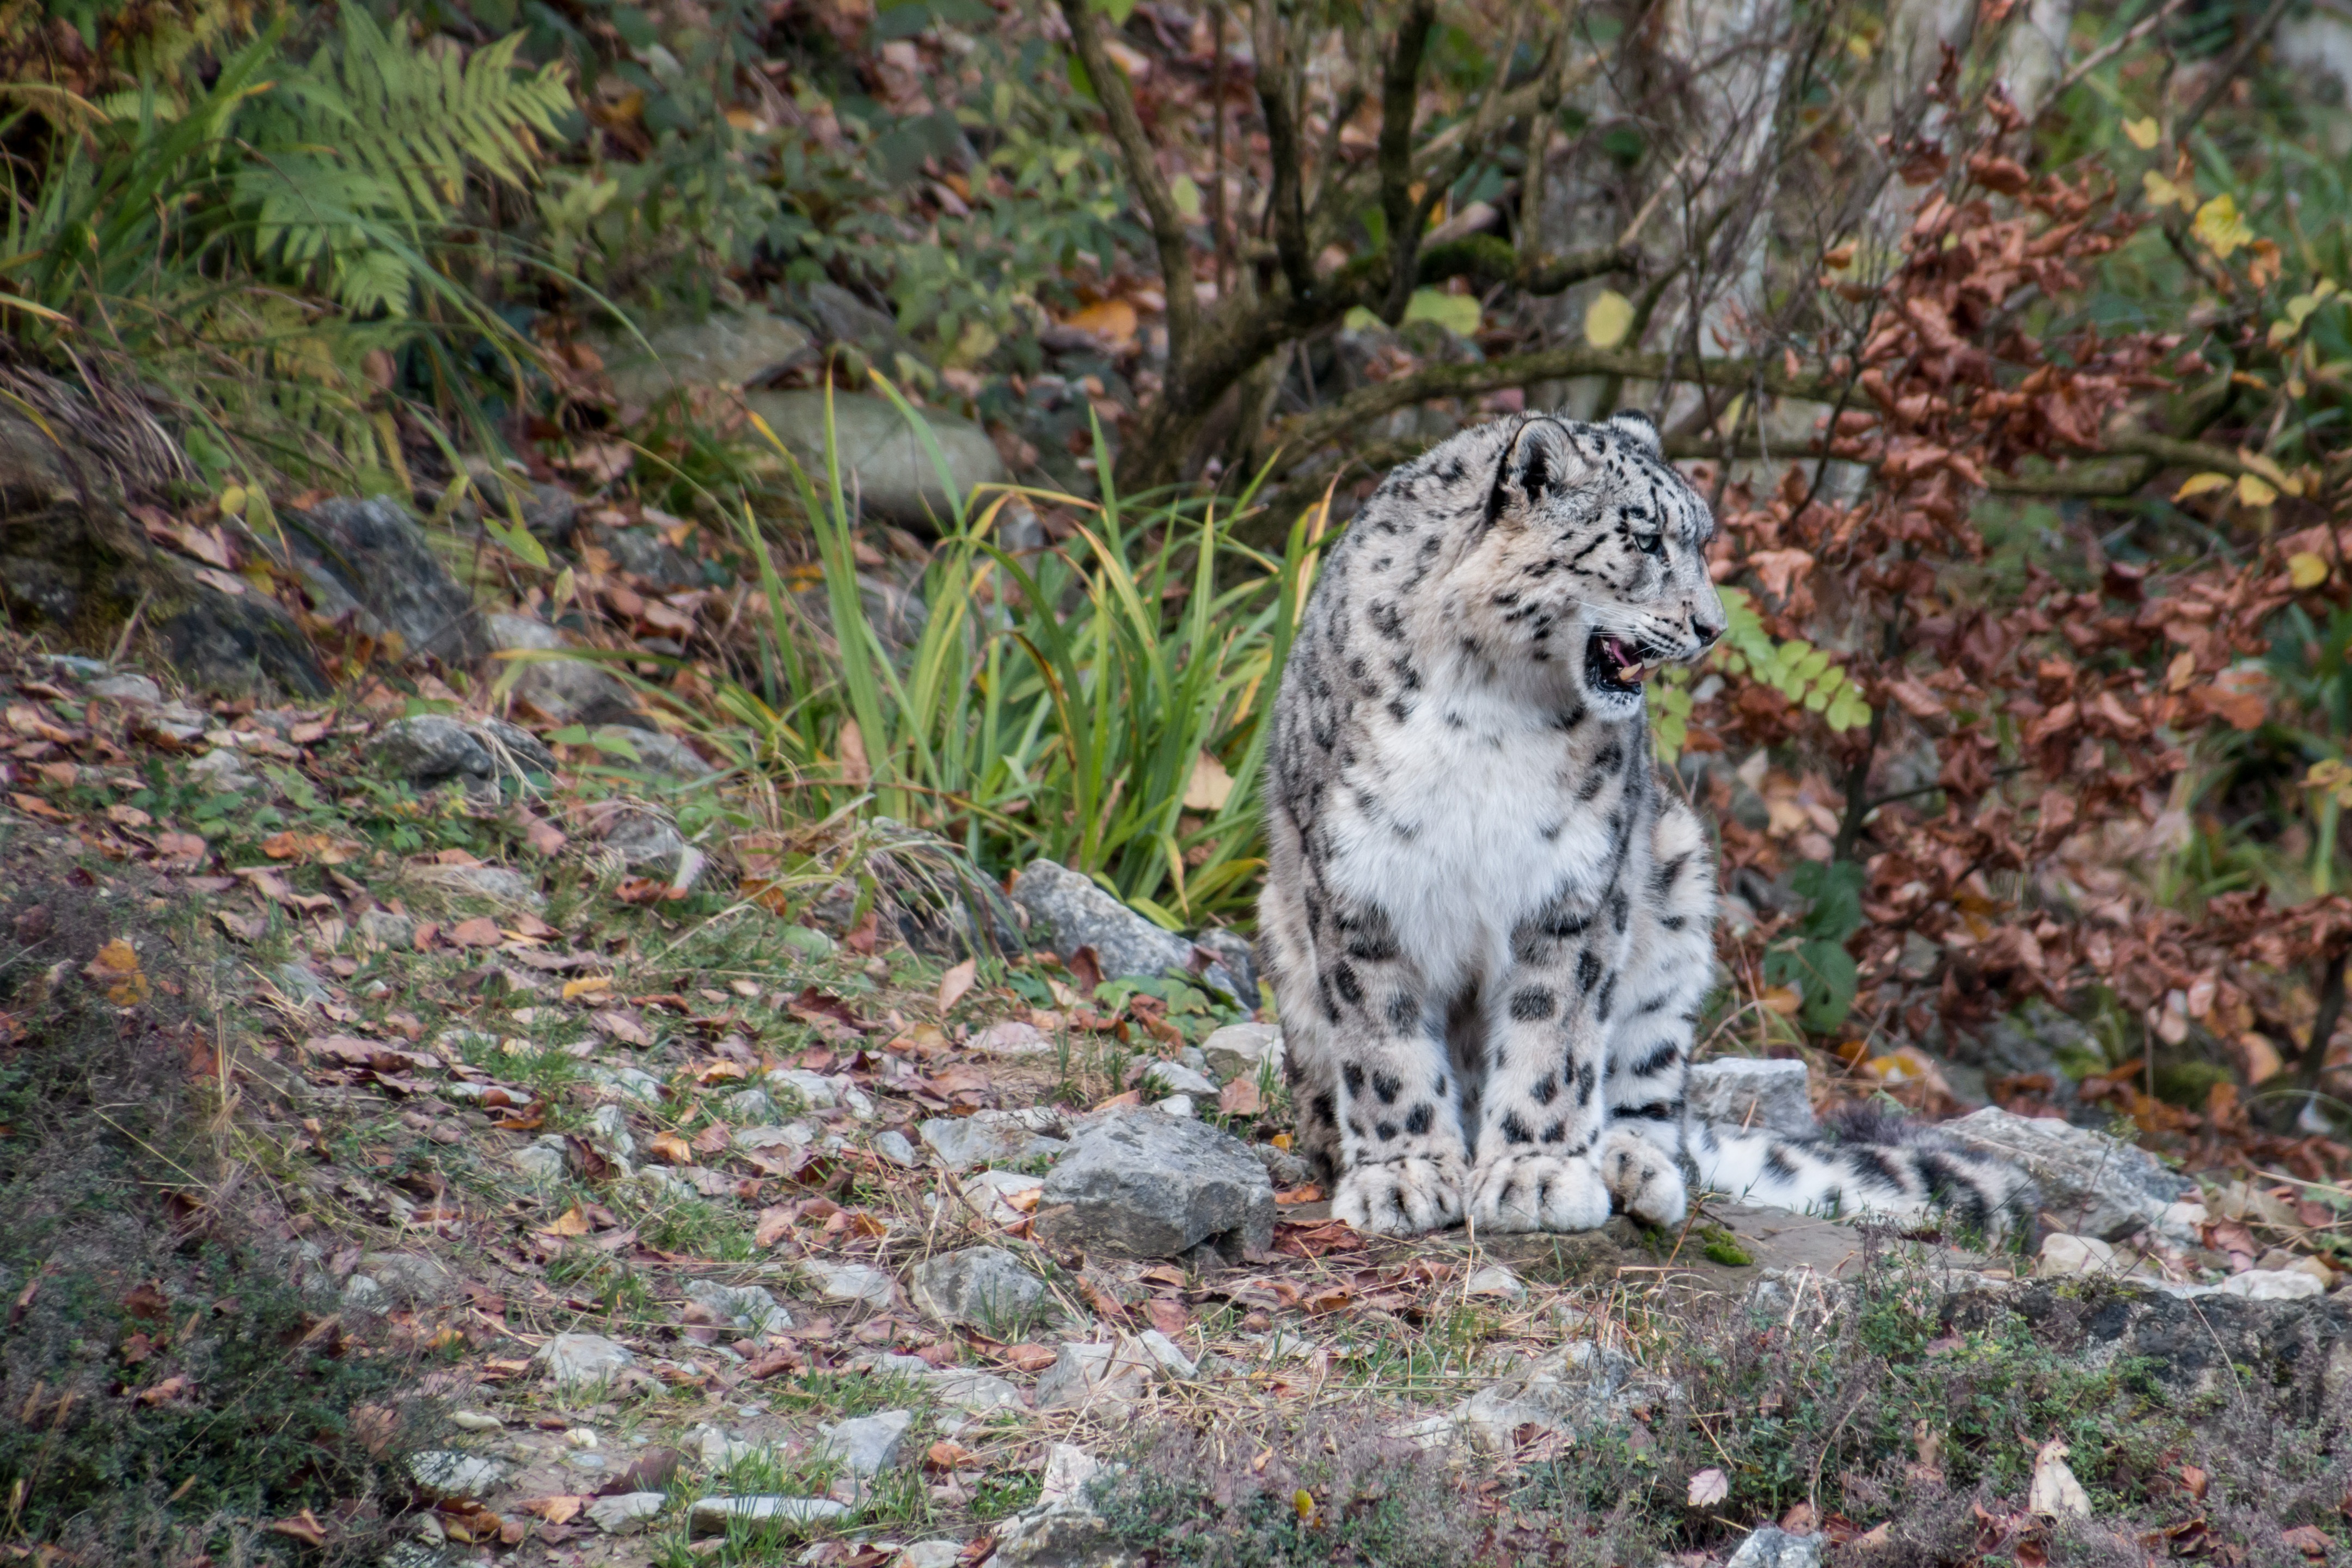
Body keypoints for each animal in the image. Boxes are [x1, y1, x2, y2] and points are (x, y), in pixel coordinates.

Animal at [1260, 413, 2032, 1241]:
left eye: (1700, 541)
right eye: (1647, 538)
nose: (1713, 627)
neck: (1489, 704)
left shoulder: (1575, 881)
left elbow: (1554, 1034)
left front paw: (1537, 1176)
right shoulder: (1360, 878)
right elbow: (1383, 1039)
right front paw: (1402, 1177)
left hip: (1679, 894)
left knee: (1655, 1095)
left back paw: (1633, 1167)